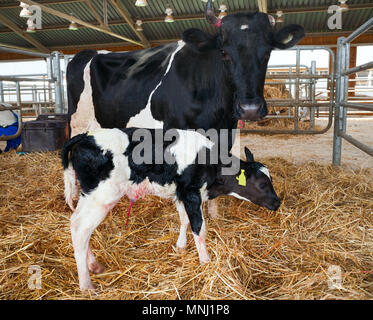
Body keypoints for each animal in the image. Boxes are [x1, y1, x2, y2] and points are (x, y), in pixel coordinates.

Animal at [60, 128, 280, 290]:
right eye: (262, 184)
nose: (277, 203)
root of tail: (85, 136)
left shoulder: (181, 194)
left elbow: (184, 220)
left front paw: (180, 246)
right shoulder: (191, 193)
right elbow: (199, 228)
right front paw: (206, 262)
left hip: (89, 195)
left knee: (79, 226)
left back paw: (93, 265)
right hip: (102, 196)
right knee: (80, 228)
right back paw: (86, 285)